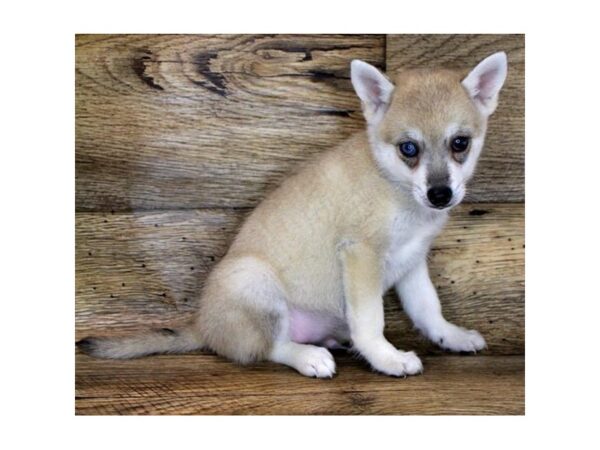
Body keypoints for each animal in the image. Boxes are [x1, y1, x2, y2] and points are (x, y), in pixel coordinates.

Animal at [78, 51, 506, 378]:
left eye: (460, 143)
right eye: (409, 149)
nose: (440, 194)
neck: (396, 187)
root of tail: (204, 328)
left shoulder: (412, 262)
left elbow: (428, 309)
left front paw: (451, 336)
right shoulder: (361, 255)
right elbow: (371, 321)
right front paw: (387, 358)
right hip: (253, 281)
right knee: (266, 347)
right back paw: (310, 357)